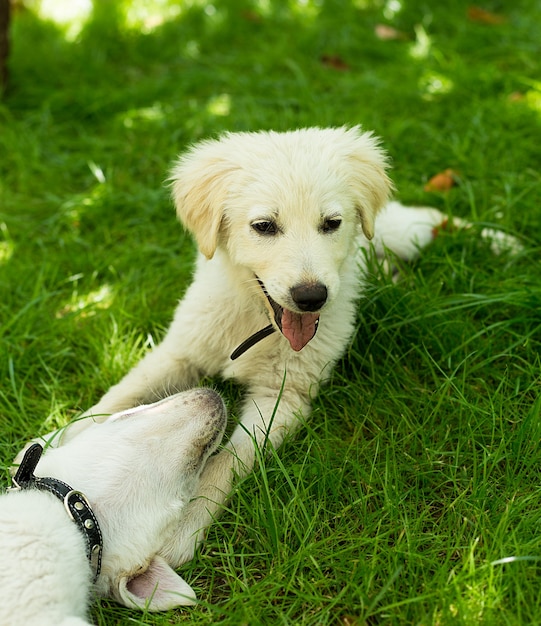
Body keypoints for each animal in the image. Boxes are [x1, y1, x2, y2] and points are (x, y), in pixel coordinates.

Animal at [39, 127, 516, 572]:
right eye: (264, 226)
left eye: (331, 223)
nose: (311, 297)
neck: (256, 319)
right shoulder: (180, 352)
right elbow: (116, 397)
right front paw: (48, 441)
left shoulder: (282, 397)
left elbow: (225, 462)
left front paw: (185, 530)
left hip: (399, 233)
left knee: (431, 219)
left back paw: (502, 241)